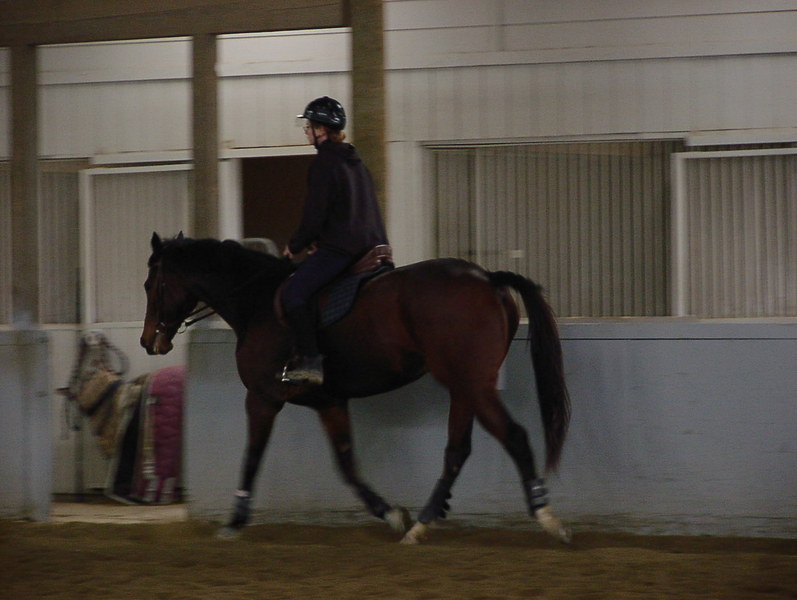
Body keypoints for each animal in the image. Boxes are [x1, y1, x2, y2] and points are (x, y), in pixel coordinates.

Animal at [140, 232, 572, 544]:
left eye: (150, 284)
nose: (149, 342)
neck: (256, 302)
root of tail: (487, 278)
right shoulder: (329, 402)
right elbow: (347, 464)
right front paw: (391, 514)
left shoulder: (262, 398)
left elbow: (252, 457)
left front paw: (233, 521)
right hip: (465, 387)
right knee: (456, 451)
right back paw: (421, 525)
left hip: (473, 384)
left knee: (513, 436)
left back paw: (548, 518)